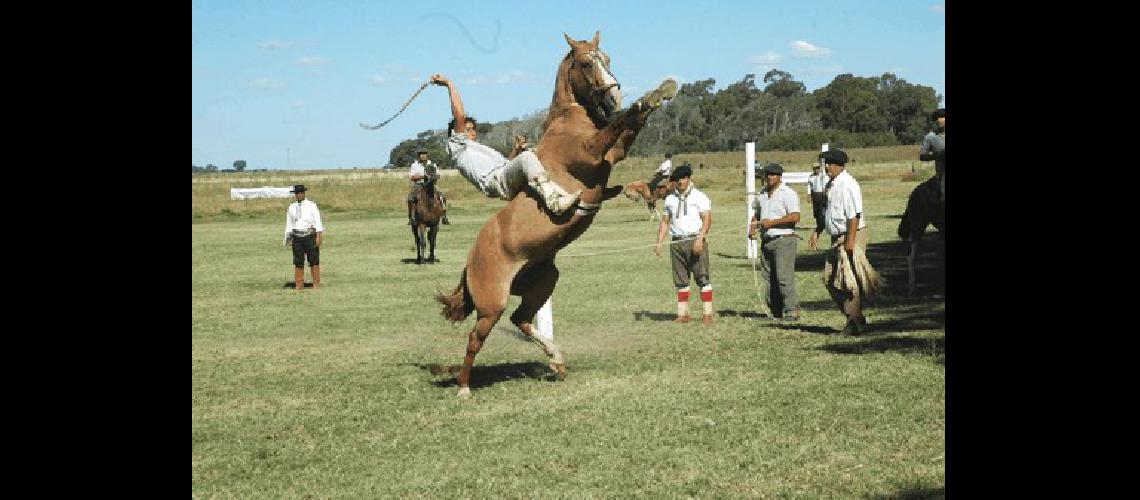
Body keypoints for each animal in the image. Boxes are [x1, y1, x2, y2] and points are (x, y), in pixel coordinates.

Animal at [430, 31, 670, 398]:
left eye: (608, 59)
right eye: (585, 62)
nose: (613, 96)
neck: (569, 120)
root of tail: (470, 261)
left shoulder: (614, 152)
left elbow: (628, 129)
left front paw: (660, 93)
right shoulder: (593, 151)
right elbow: (623, 123)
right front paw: (647, 99)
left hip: (543, 280)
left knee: (520, 319)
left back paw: (556, 359)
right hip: (492, 303)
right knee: (475, 339)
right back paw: (464, 388)